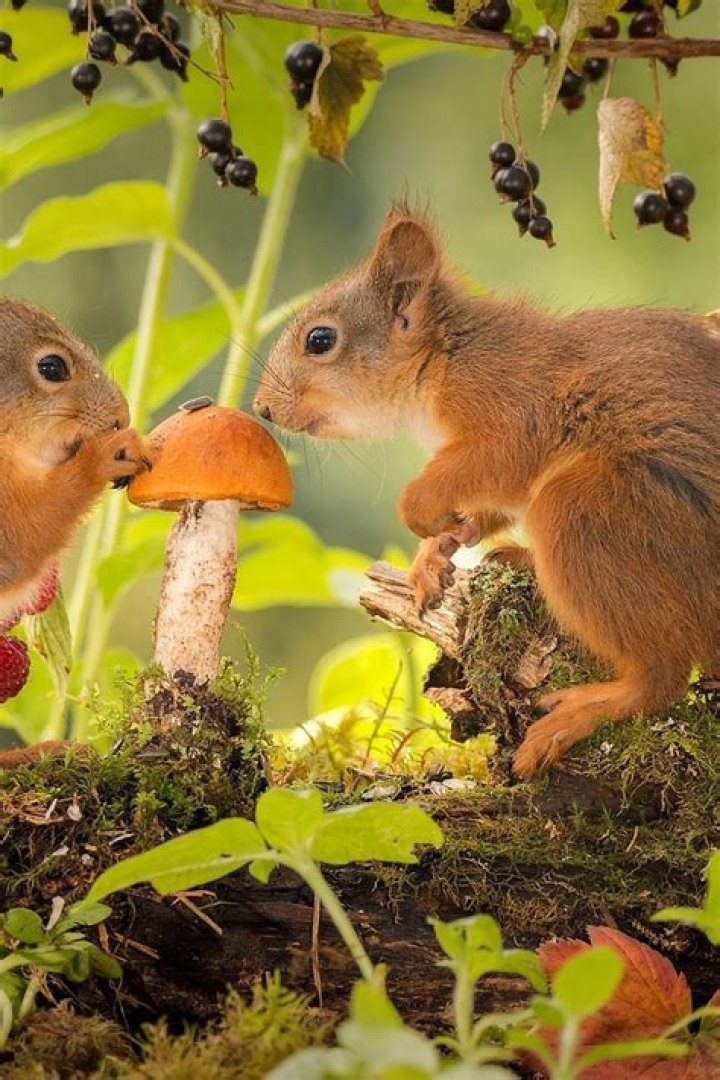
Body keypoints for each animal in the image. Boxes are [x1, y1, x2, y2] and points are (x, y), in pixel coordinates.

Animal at [253, 202, 720, 778]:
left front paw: (423, 516)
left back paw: (584, 710)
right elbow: (487, 504)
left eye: (320, 340)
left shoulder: (511, 409)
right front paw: (436, 552)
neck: (445, 357)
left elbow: (489, 466)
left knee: (663, 677)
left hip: (591, 514)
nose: (262, 409)